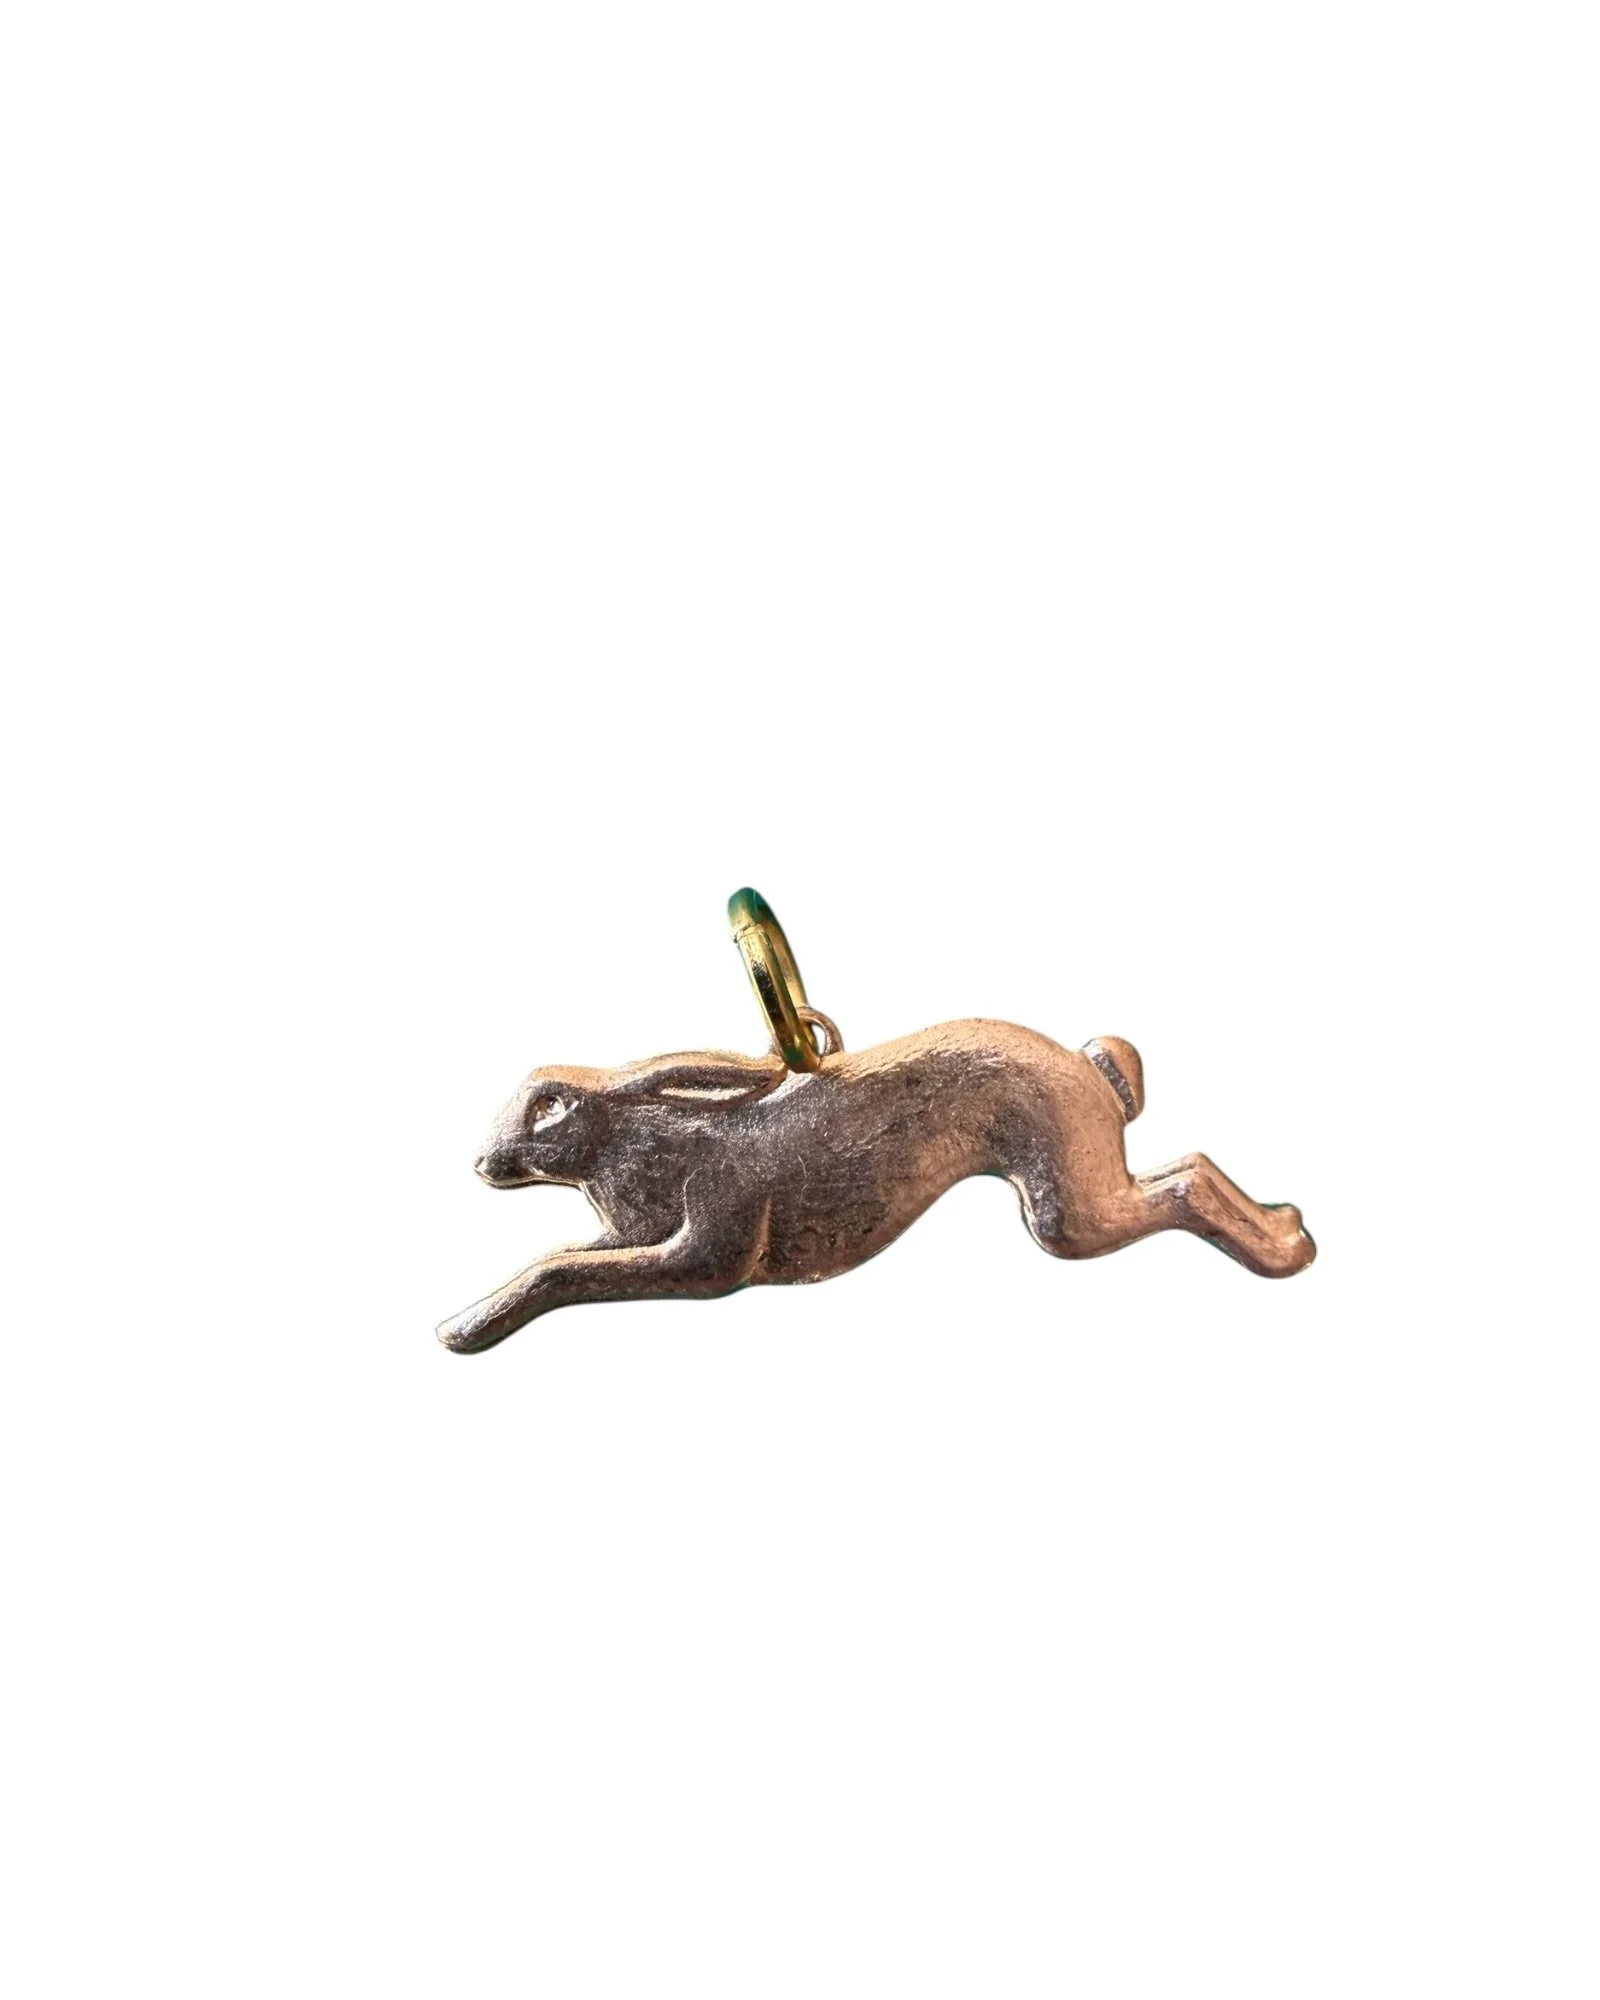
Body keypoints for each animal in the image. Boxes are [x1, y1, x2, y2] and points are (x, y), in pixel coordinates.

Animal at [437, 1019, 1314, 1354]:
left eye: (552, 1104)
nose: (481, 1164)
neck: (651, 1138)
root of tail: (1090, 1068)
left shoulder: (709, 1251)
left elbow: (562, 1270)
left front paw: (465, 1326)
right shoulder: (628, 1236)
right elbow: (568, 1254)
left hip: (1066, 1209)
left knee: (1186, 1185)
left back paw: (1283, 1250)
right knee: (1192, 1167)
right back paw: (1288, 1228)